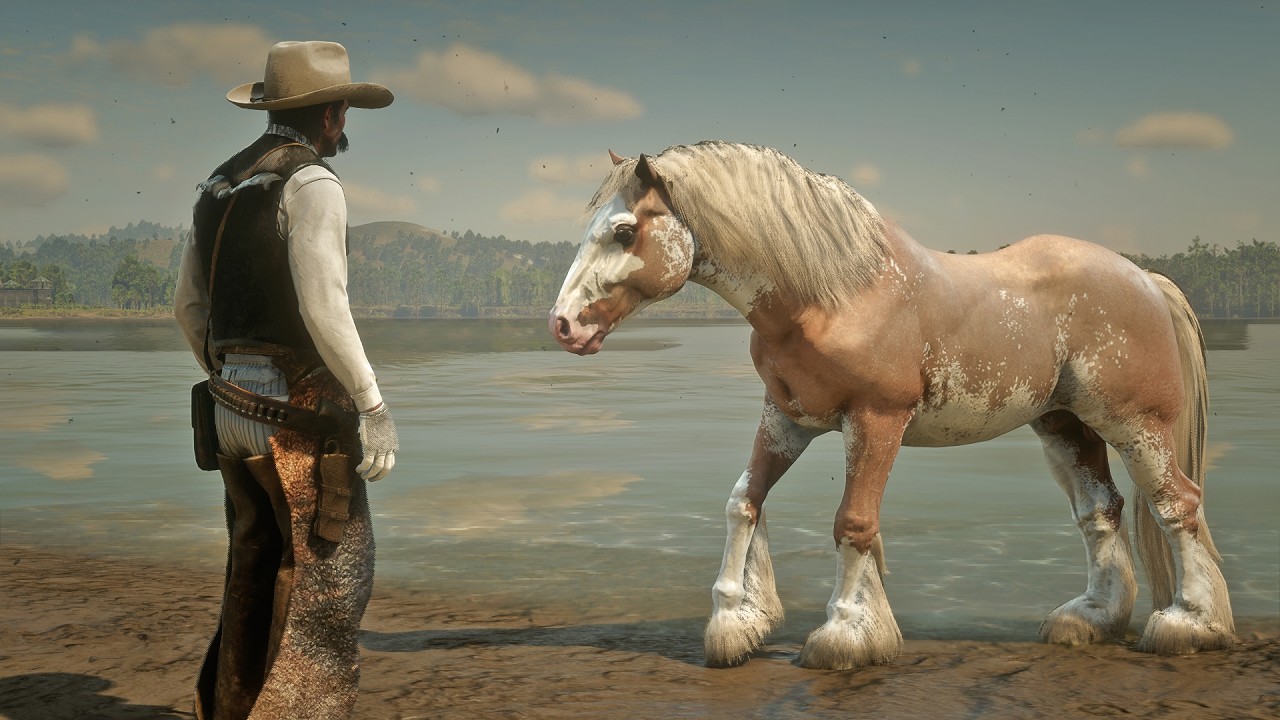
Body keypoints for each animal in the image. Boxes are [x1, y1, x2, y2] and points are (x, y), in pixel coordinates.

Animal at [546, 141, 1235, 670]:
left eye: (624, 230)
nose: (564, 325)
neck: (832, 294)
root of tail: (1146, 279)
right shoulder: (788, 418)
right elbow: (745, 500)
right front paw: (737, 622)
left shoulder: (876, 421)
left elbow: (853, 523)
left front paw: (844, 635)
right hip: (1065, 424)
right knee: (1101, 511)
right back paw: (1089, 619)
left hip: (1135, 424)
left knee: (1177, 504)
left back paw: (1191, 624)